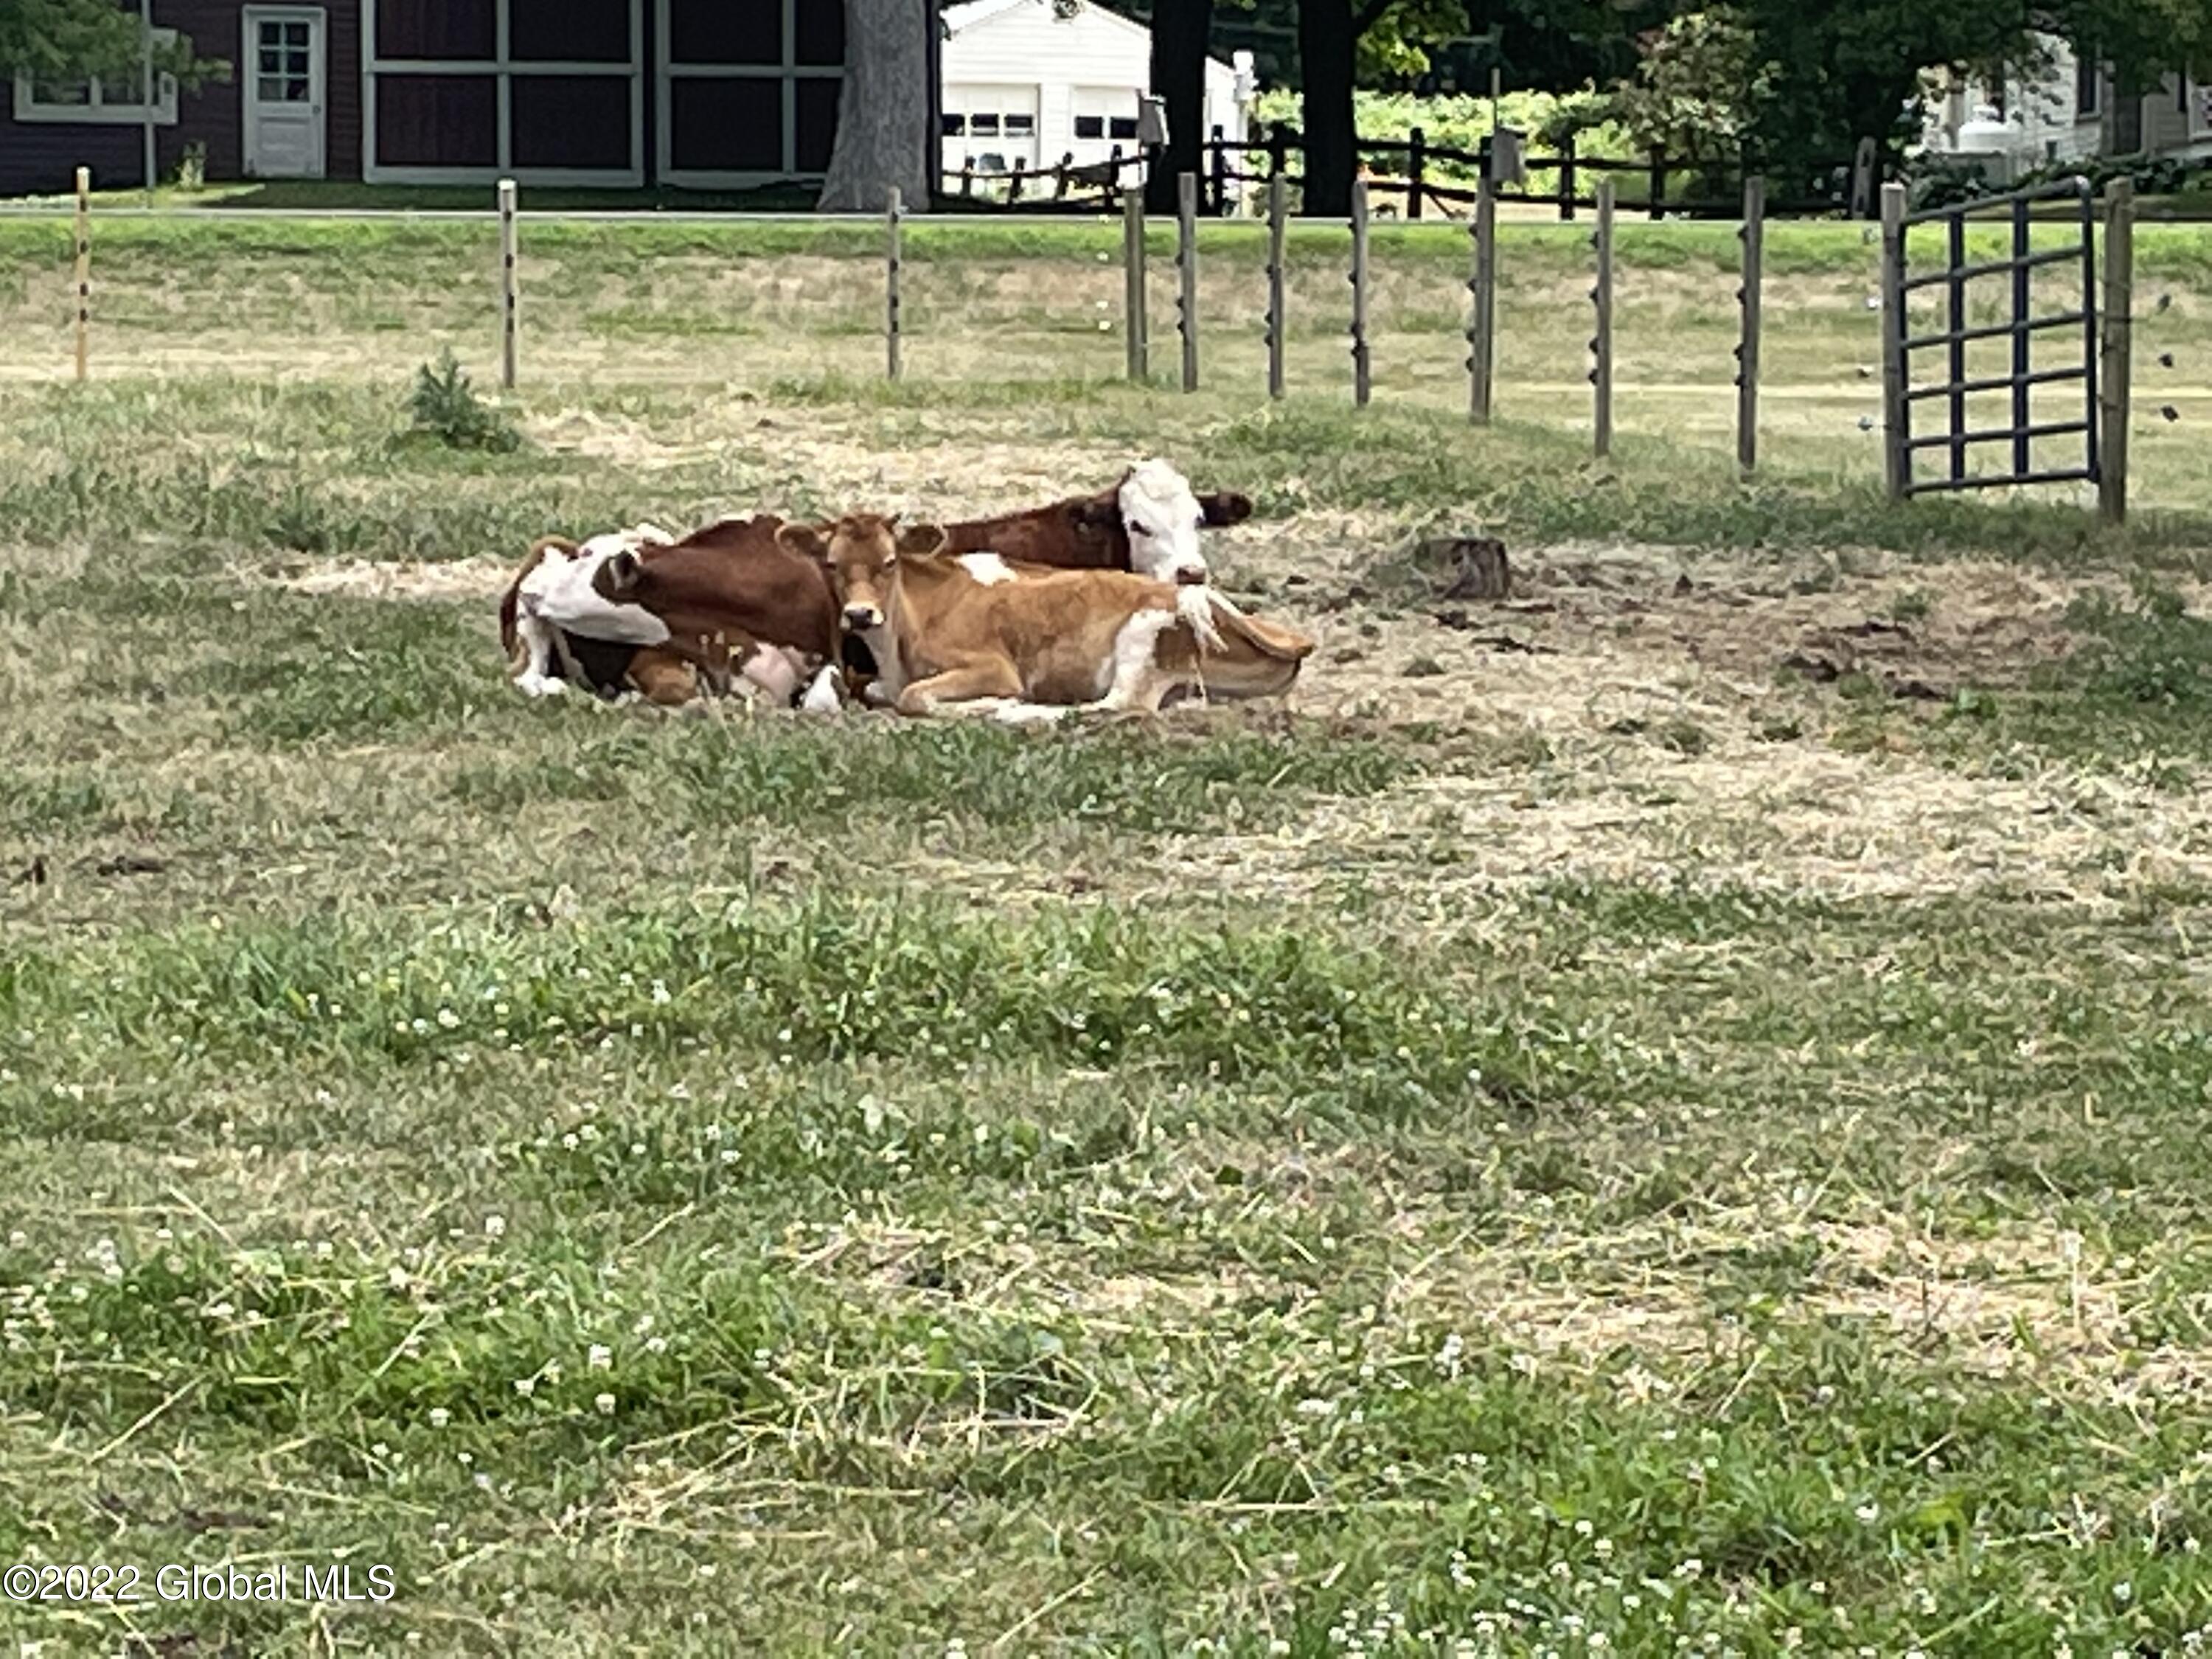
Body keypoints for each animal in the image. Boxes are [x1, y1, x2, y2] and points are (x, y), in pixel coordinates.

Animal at [776, 513, 1315, 723]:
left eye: (890, 563)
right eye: (832, 565)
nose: (860, 614)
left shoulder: (992, 666)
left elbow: (915, 697)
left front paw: (991, 704)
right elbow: (879, 691)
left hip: (1141, 639)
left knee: (1115, 705)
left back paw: (1023, 713)